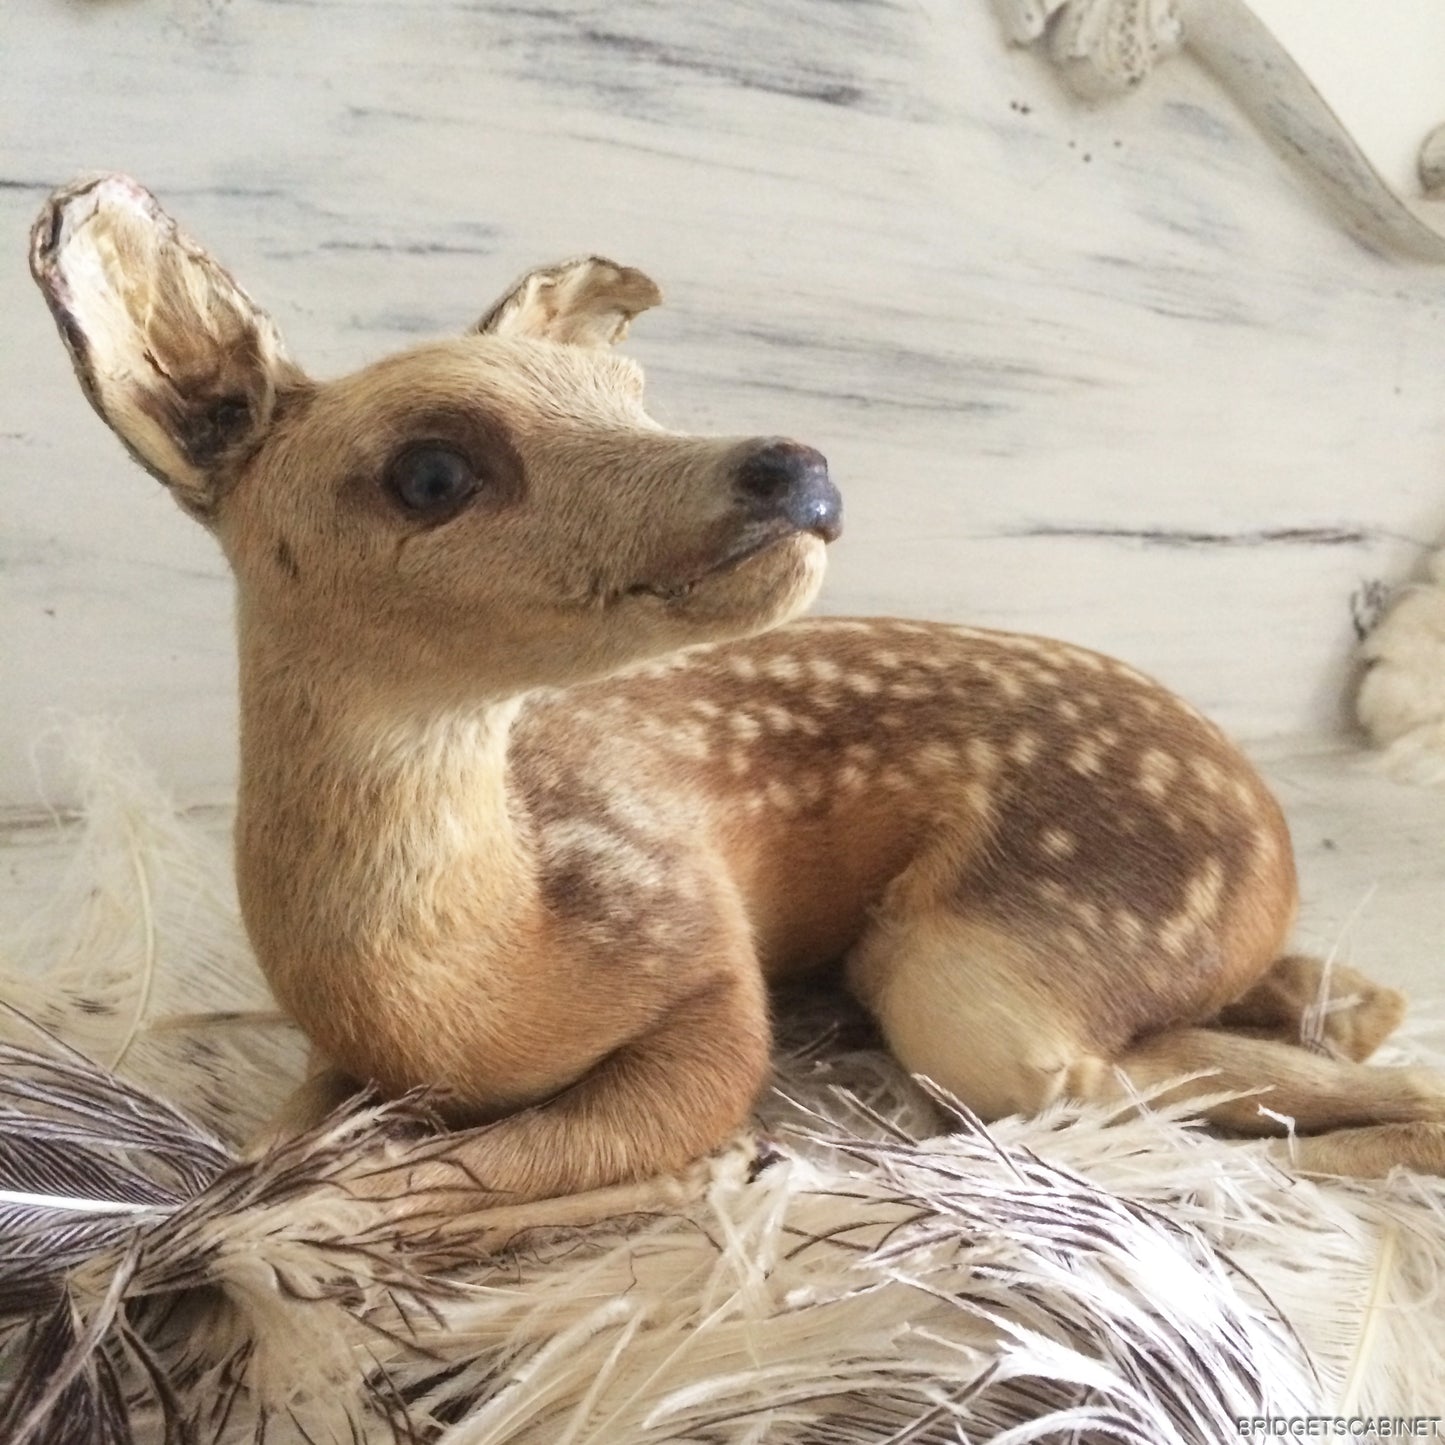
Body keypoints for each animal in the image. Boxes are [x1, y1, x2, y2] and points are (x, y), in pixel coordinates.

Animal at [28, 174, 1445, 1228]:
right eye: (430, 470)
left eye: (632, 395)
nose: (791, 464)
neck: (484, 981)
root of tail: (1266, 831)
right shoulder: (347, 1050)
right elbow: (274, 1150)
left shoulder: (699, 952)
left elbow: (461, 1162)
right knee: (1327, 1021)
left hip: (993, 954)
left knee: (1183, 1095)